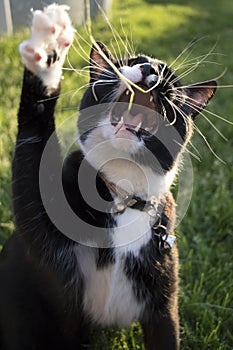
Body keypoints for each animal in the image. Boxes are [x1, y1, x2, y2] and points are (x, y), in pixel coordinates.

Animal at [0, 3, 217, 350]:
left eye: (170, 79)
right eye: (130, 63)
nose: (151, 70)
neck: (122, 195)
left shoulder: (164, 304)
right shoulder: (45, 241)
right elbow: (33, 147)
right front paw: (48, 45)